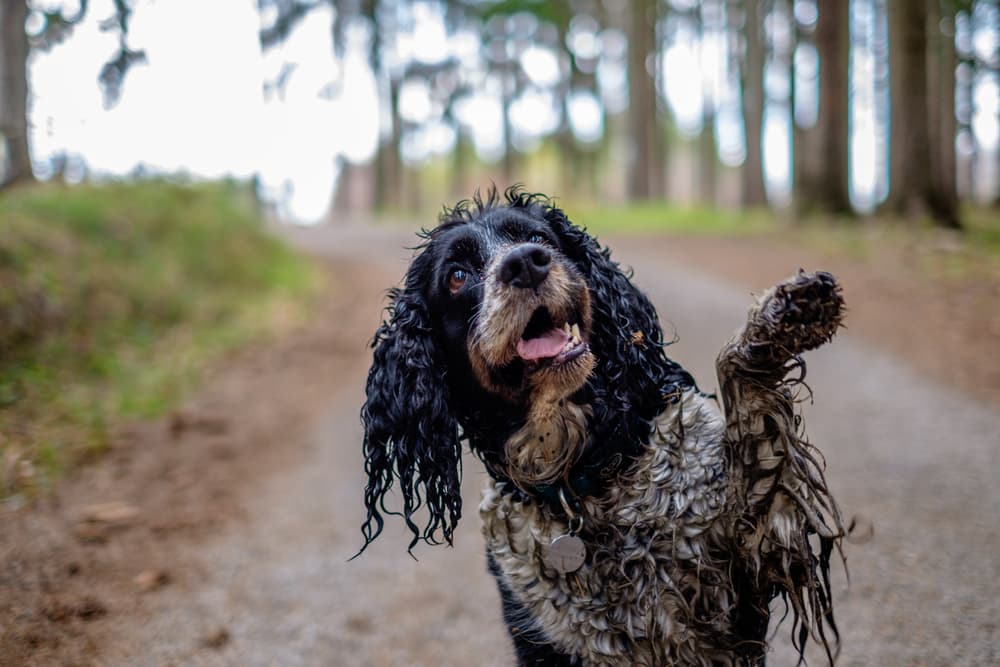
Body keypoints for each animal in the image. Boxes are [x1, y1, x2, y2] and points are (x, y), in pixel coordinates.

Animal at [360, 189, 844, 667]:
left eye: (538, 237)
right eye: (457, 276)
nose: (526, 263)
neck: (586, 480)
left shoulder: (759, 552)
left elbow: (742, 394)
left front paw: (785, 315)